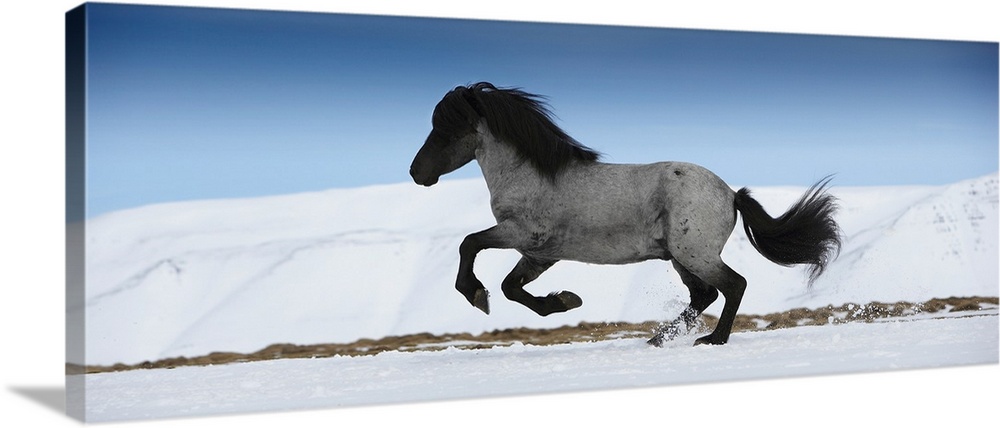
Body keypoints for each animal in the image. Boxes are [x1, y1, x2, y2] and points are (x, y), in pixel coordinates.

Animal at [410, 82, 840, 346]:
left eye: (446, 128)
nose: (417, 173)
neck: (530, 175)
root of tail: (731, 194)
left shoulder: (520, 234)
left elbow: (470, 245)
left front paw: (475, 294)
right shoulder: (541, 254)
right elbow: (511, 287)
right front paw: (565, 301)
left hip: (694, 253)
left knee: (733, 286)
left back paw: (712, 339)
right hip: (680, 257)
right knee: (704, 294)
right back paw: (658, 338)